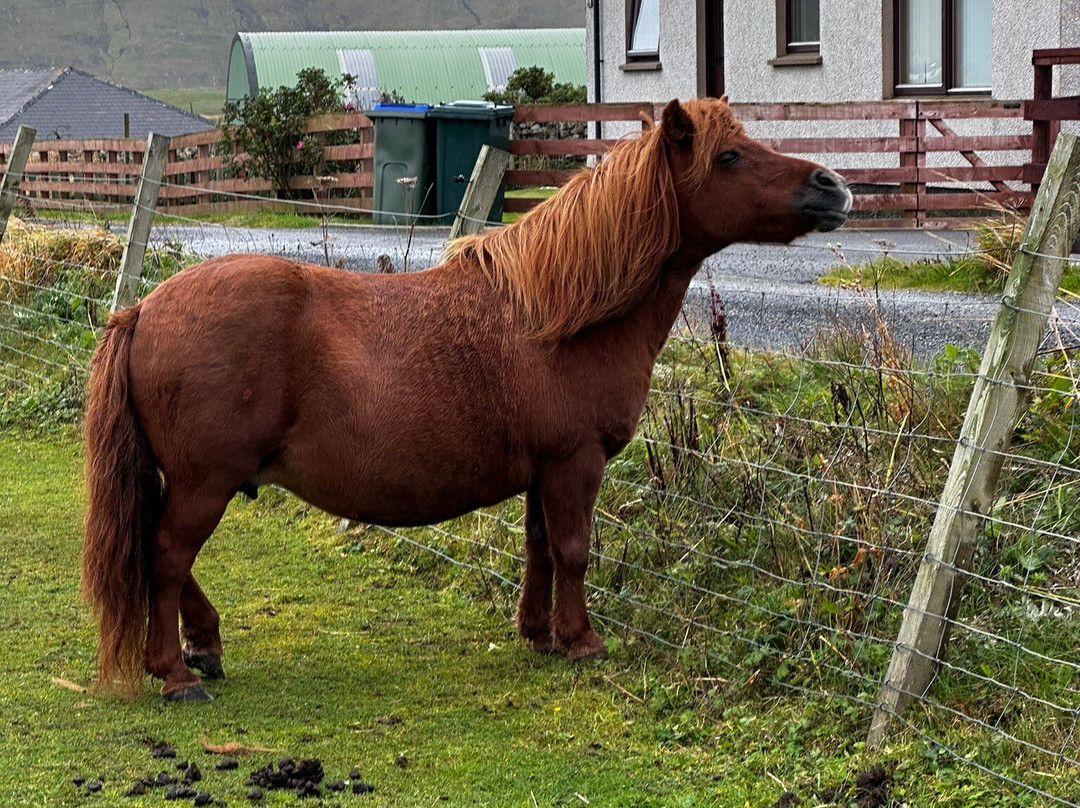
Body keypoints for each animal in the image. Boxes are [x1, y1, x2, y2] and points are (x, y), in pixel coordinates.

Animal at [82, 96, 851, 699]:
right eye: (730, 157)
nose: (834, 186)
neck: (558, 313)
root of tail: (143, 309)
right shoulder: (575, 463)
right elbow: (574, 550)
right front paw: (583, 641)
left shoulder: (547, 470)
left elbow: (541, 549)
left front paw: (540, 634)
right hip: (203, 483)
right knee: (165, 557)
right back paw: (174, 673)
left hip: (192, 481)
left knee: (162, 557)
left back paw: (204, 646)